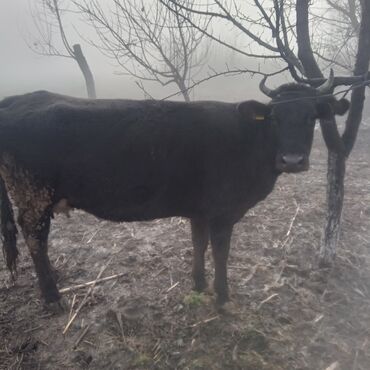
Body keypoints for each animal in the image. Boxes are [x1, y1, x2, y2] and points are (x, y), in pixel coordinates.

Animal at [0, 74, 348, 306]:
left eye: (312, 117)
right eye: (274, 117)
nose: (293, 160)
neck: (248, 140)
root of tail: (19, 98)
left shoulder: (200, 210)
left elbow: (199, 243)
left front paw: (199, 284)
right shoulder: (222, 212)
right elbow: (220, 251)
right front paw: (222, 297)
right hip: (33, 195)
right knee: (35, 238)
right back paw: (52, 296)